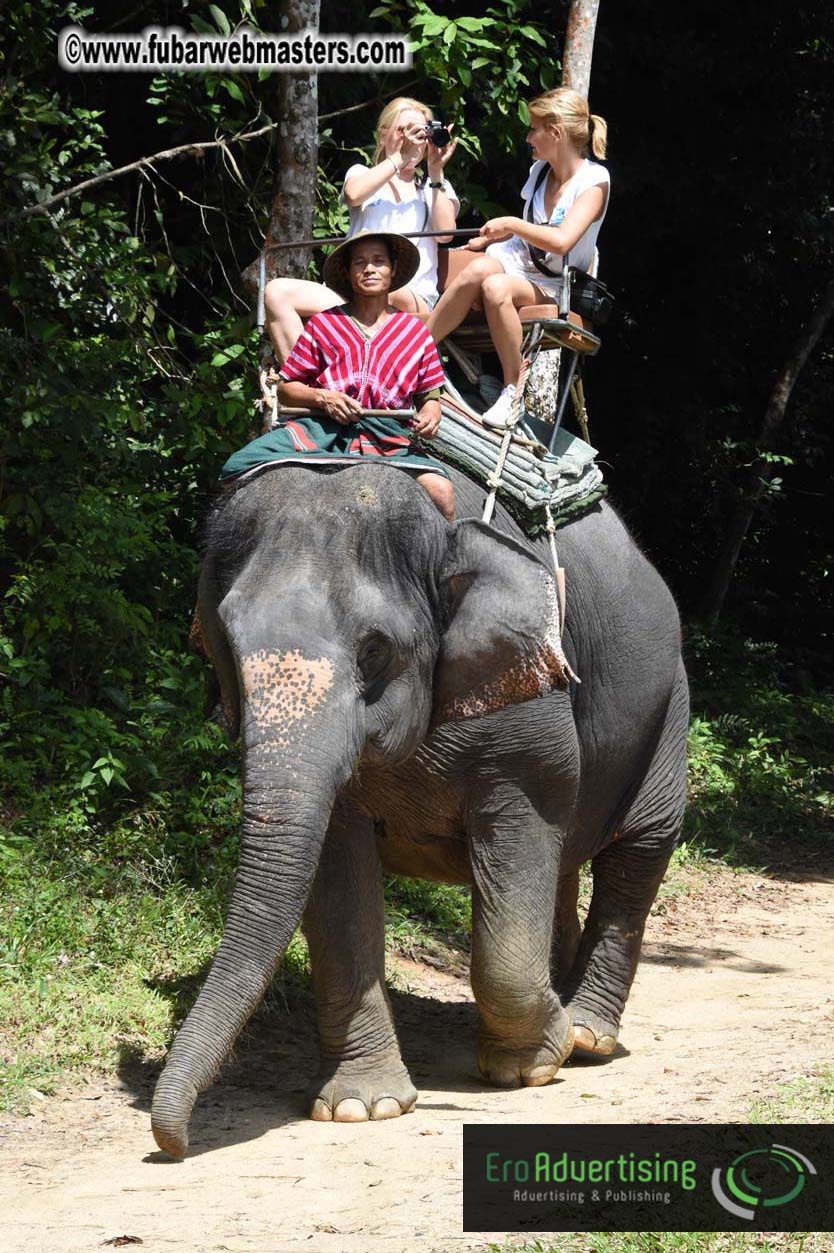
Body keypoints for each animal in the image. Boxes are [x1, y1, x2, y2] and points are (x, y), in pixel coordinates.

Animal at [151, 460, 688, 1158]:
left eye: (373, 651)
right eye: (228, 650)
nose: (174, 1143)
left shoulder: (531, 710)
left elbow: (525, 829)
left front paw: (537, 1061)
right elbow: (338, 876)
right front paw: (363, 1107)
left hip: (669, 707)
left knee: (638, 854)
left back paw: (588, 1034)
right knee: (569, 863)